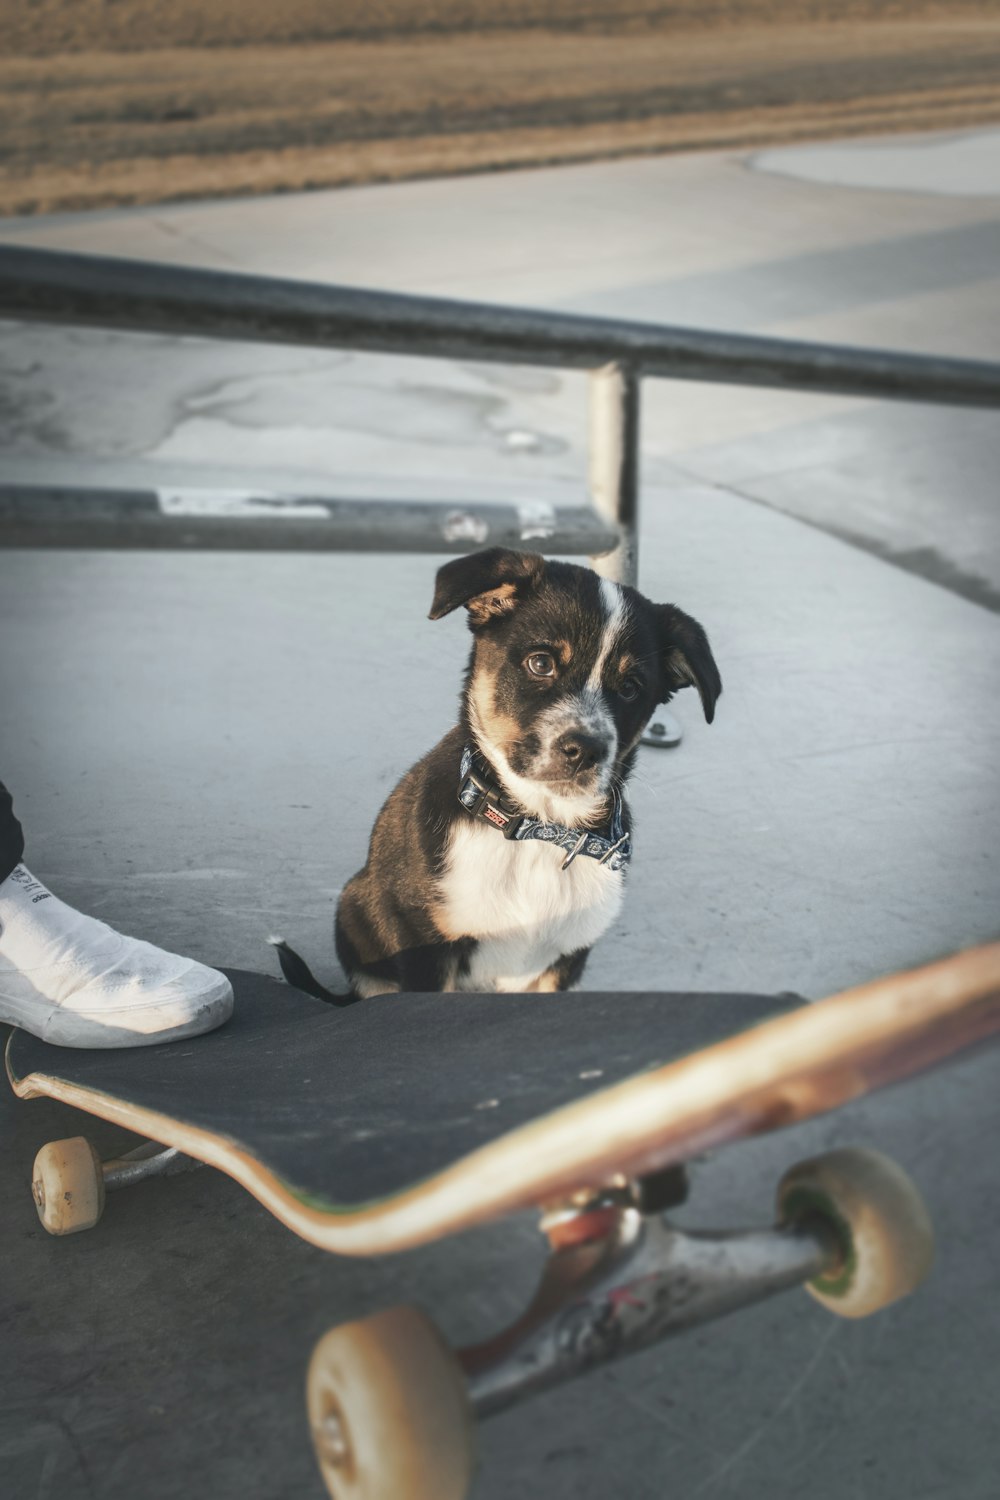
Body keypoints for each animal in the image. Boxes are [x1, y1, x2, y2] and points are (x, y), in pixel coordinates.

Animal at [274, 546, 719, 1002]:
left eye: (630, 689)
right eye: (540, 663)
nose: (586, 750)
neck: (538, 831)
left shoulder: (566, 960)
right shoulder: (425, 950)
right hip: (356, 903)